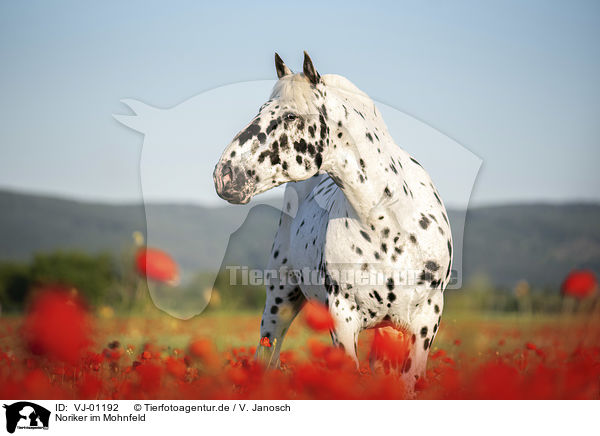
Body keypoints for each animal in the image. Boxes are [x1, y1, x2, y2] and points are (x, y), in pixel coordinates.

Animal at [213, 52, 452, 392]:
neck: (390, 224)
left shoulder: (425, 321)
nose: (224, 175)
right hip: (280, 299)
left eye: (290, 116)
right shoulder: (342, 318)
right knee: (267, 354)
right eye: (261, 110)